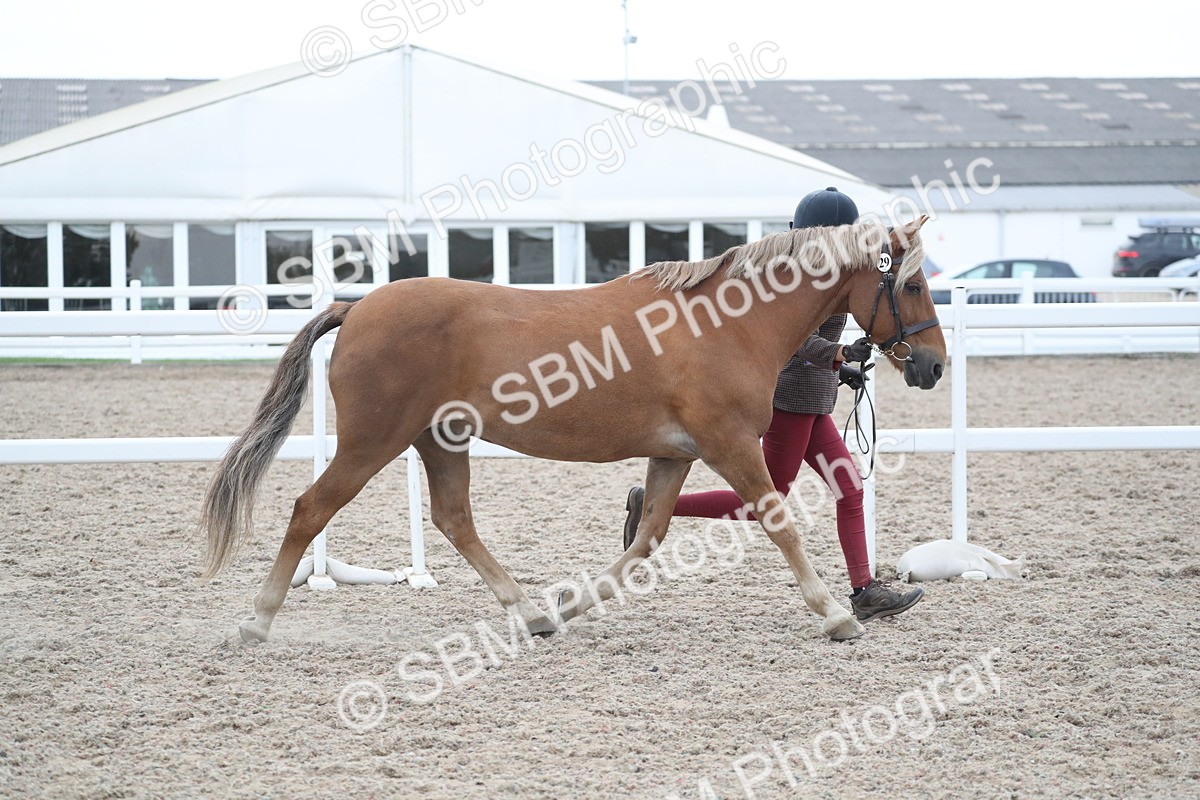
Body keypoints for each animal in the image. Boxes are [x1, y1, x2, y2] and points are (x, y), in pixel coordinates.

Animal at [200, 215, 946, 644]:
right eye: (910, 285)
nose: (933, 365)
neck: (726, 323)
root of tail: (356, 308)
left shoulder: (676, 455)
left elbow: (644, 542)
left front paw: (569, 602)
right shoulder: (730, 445)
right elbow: (779, 522)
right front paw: (838, 615)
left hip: (440, 440)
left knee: (454, 520)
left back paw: (530, 614)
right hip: (371, 442)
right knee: (310, 509)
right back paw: (254, 622)